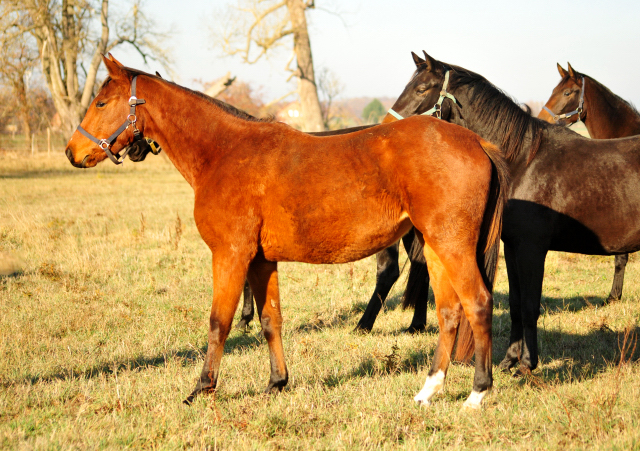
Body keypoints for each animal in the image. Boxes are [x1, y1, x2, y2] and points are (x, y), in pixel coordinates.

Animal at [62, 53, 508, 410]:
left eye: (101, 102)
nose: (72, 152)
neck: (224, 151)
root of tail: (476, 142)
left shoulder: (231, 255)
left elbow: (219, 323)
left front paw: (201, 389)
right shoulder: (261, 261)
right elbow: (269, 320)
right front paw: (277, 382)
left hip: (452, 246)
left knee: (478, 304)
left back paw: (477, 393)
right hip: (436, 248)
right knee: (449, 312)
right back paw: (428, 390)